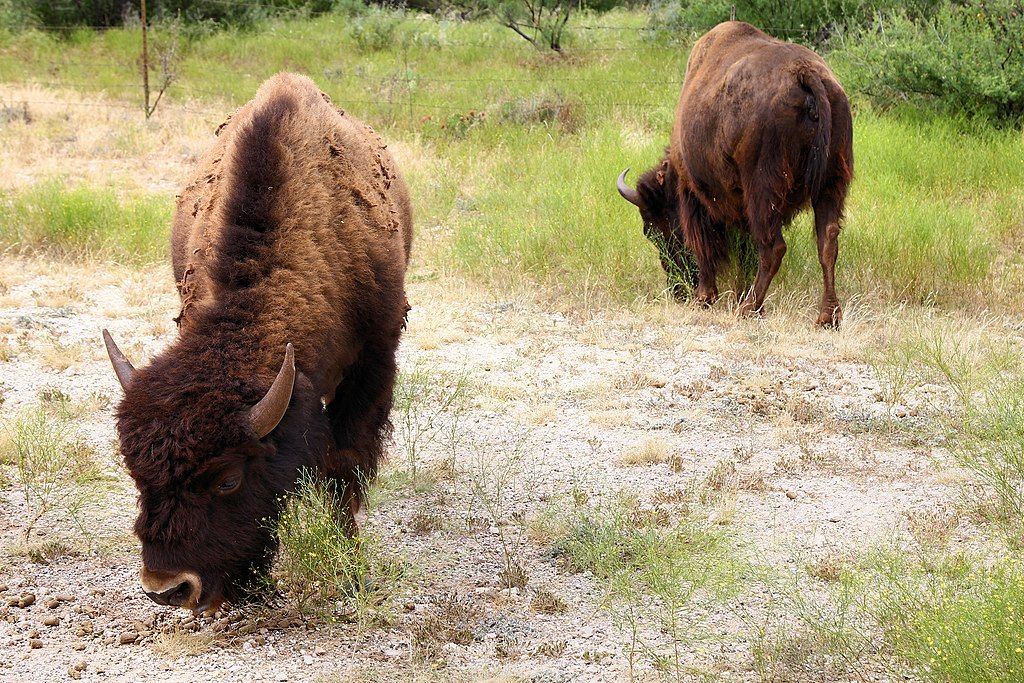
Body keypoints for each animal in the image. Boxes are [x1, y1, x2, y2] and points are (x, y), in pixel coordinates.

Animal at [103, 72, 413, 611]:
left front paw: (350, 568)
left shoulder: (371, 368)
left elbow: (344, 470)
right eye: (135, 474)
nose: (169, 587)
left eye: (229, 479)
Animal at [618, 21, 853, 327]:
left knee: (774, 248)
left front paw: (704, 298)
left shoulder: (695, 195)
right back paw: (826, 317)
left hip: (764, 189)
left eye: (653, 229)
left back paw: (749, 308)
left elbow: (706, 246)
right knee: (827, 242)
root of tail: (805, 73)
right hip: (831, 183)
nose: (677, 289)